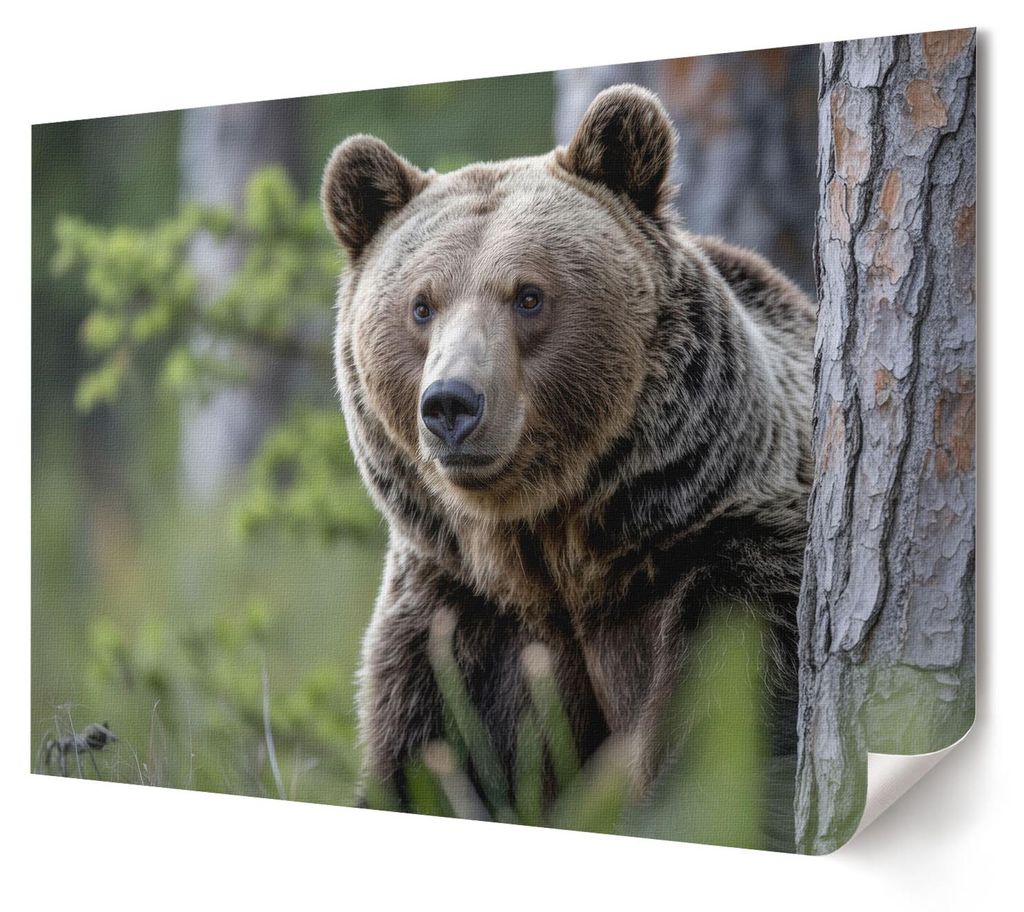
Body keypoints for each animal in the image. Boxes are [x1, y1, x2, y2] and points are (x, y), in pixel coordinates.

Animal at [321, 84, 815, 845]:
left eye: (529, 295)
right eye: (421, 306)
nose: (451, 404)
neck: (562, 552)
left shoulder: (735, 571)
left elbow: (723, 751)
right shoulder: (462, 620)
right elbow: (427, 765)